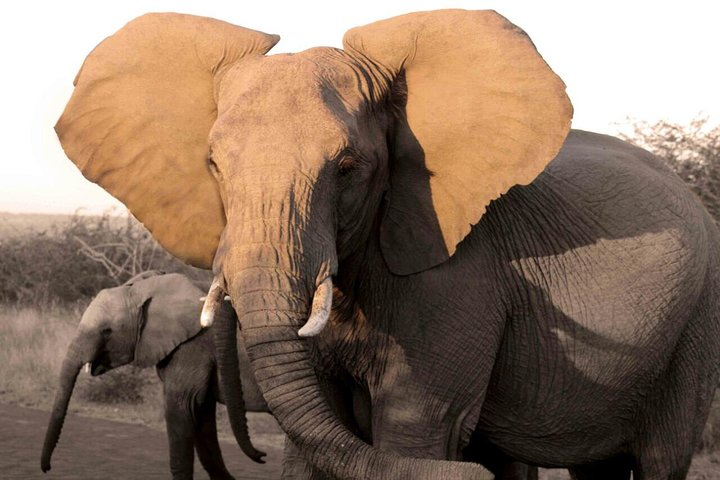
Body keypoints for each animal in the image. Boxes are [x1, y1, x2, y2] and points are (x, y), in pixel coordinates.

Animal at [40, 271, 268, 479]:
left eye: (107, 331)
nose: (47, 468)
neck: (146, 289)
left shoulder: (192, 347)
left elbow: (183, 406)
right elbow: (201, 414)